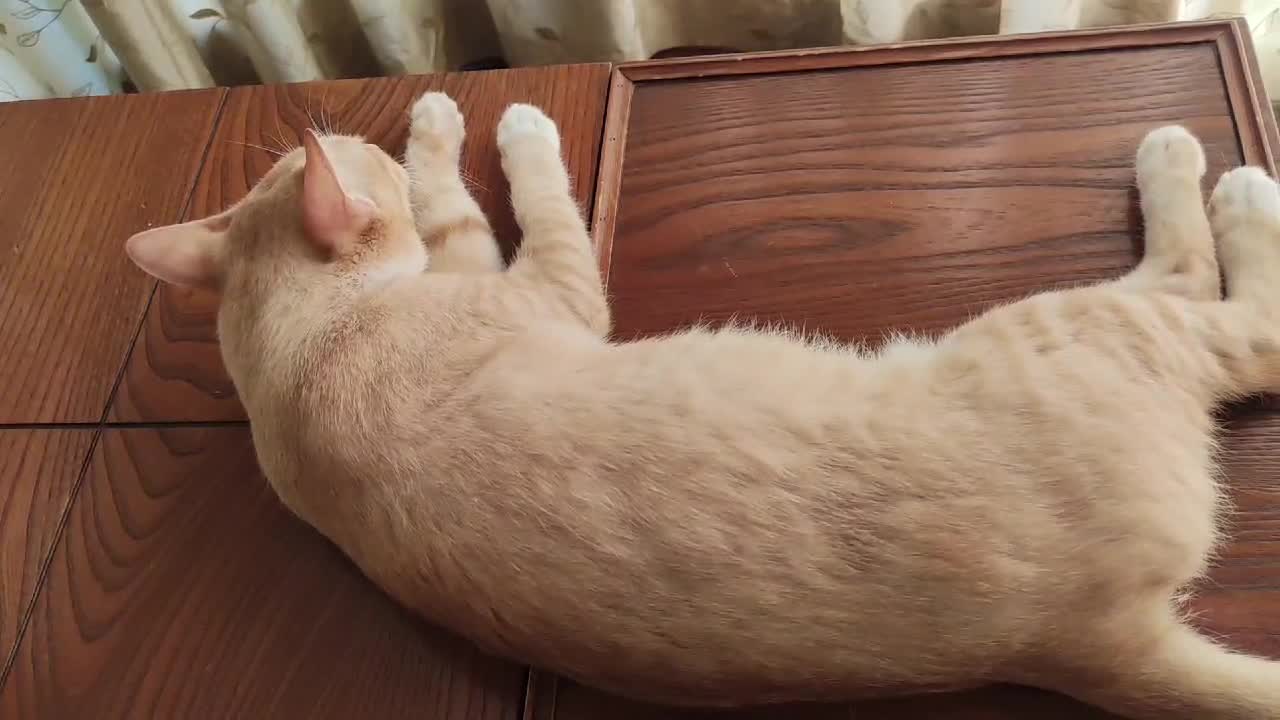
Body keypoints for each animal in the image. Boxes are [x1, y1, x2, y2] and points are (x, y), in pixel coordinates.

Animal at [127, 90, 1280, 717]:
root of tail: (1083, 638)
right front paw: (469, 127)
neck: (299, 357)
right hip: (1079, 323)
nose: (349, 131)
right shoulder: (542, 281)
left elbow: (455, 195)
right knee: (1217, 296)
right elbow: (486, 193)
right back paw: (1214, 175)